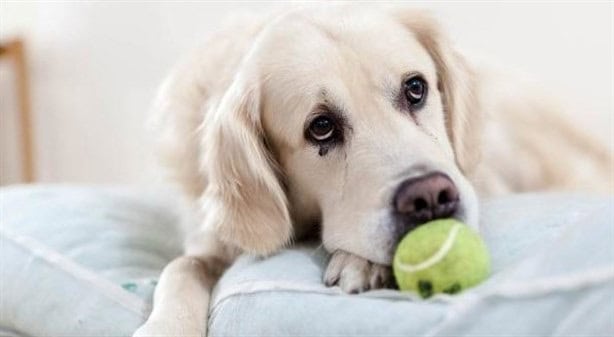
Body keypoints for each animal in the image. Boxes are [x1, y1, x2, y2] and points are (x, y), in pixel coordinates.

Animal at [134, 5, 612, 336]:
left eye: (416, 88)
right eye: (321, 127)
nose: (430, 196)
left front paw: (359, 261)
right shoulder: (212, 239)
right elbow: (181, 268)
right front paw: (166, 325)